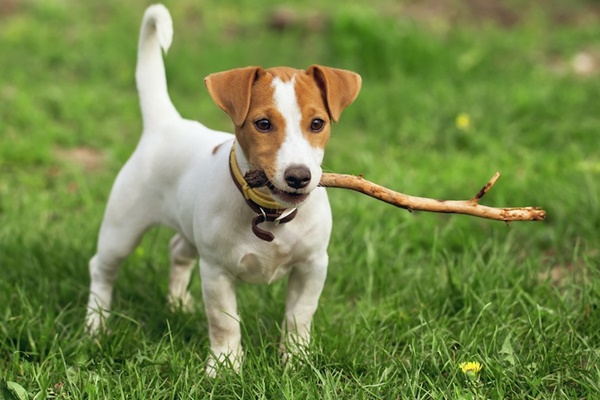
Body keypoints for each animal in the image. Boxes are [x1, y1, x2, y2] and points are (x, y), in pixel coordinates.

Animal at [85, 3, 360, 376]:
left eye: (317, 123)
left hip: (187, 230)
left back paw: (176, 304)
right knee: (102, 268)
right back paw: (95, 324)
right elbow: (224, 321)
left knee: (177, 250)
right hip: (122, 228)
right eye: (263, 124)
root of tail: (167, 123)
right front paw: (226, 366)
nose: (299, 176)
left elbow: (299, 316)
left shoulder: (313, 265)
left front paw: (296, 359)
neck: (270, 214)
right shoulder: (216, 271)